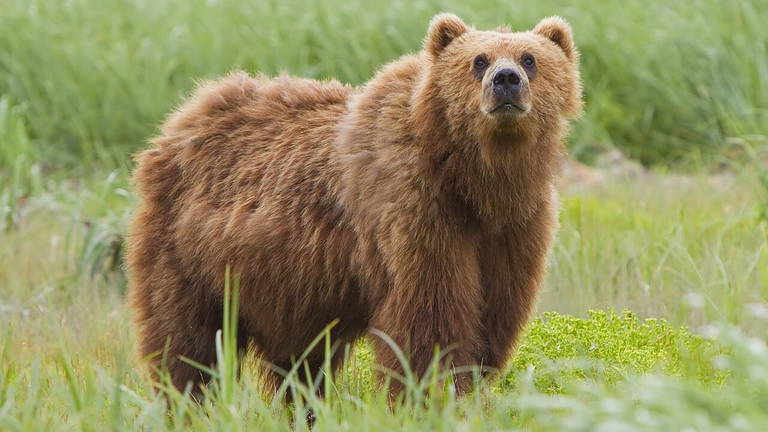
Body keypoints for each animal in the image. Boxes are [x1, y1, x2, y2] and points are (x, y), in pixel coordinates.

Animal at [126, 13, 582, 398]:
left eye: (530, 58)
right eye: (478, 60)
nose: (506, 80)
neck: (475, 181)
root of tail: (183, 116)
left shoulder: (514, 228)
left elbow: (493, 314)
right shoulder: (415, 210)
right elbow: (428, 319)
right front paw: (432, 393)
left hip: (287, 286)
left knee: (299, 364)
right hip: (189, 252)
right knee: (186, 341)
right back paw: (186, 400)